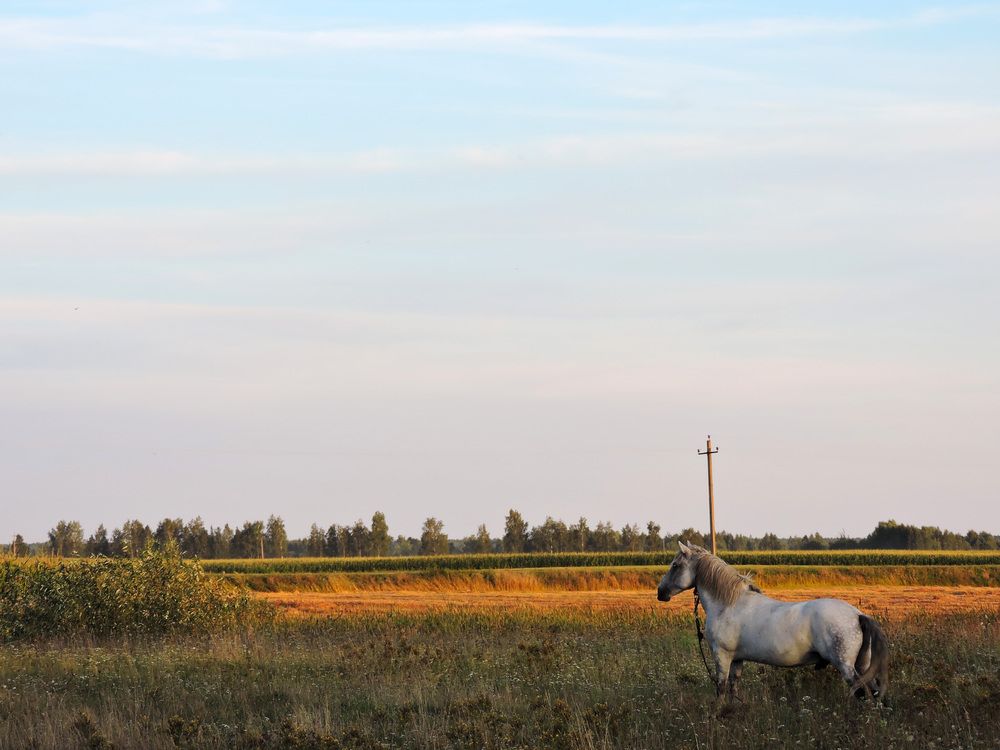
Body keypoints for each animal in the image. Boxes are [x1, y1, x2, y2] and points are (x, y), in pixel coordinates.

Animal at [657, 541, 889, 701]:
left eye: (675, 565)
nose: (660, 593)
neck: (728, 604)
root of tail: (858, 615)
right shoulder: (737, 659)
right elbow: (733, 688)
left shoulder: (722, 656)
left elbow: (721, 689)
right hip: (862, 666)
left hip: (847, 667)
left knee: (865, 694)